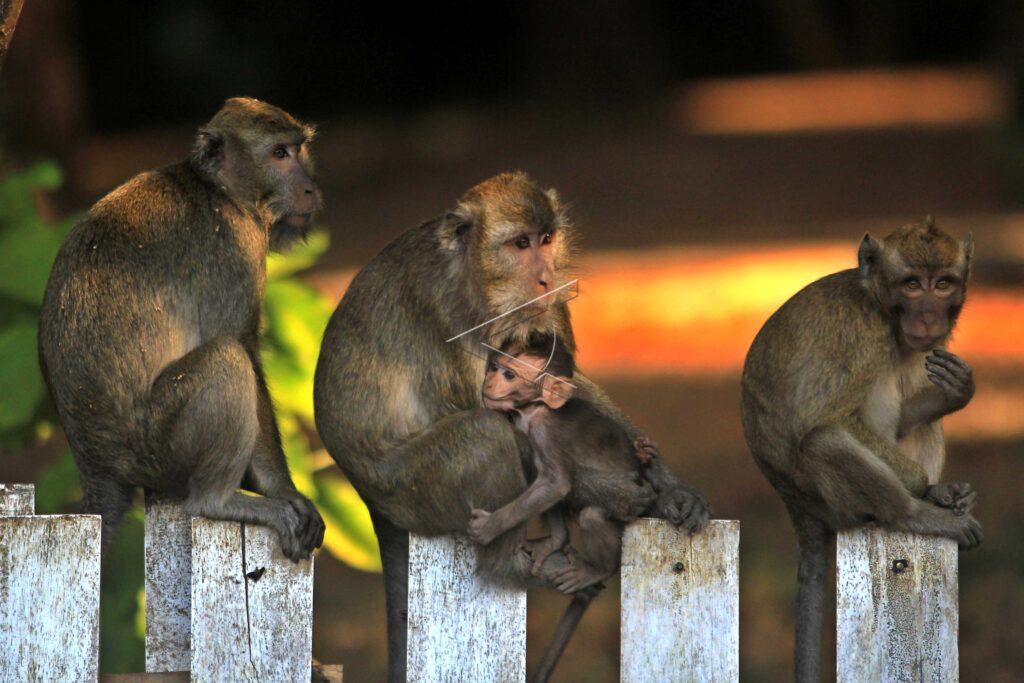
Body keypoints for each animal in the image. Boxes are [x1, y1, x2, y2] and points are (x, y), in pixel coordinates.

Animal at [38, 97, 326, 562]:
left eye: (300, 150)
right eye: (279, 153)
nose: (310, 189)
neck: (221, 190)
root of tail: (95, 466)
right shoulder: (236, 247)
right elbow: (243, 345)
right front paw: (285, 490)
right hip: (159, 447)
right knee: (228, 359)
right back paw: (218, 501)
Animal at [313, 171, 710, 682]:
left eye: (546, 239)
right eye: (519, 244)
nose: (545, 277)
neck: (475, 280)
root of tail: (367, 498)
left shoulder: (546, 312)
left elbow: (567, 390)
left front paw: (667, 486)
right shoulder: (444, 310)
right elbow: (495, 417)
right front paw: (634, 496)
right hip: (408, 490)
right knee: (485, 434)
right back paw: (509, 566)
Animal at [740, 217, 982, 683]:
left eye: (942, 284)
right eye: (912, 285)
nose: (928, 317)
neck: (879, 304)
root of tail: (789, 498)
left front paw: (957, 394)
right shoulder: (860, 333)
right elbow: (819, 417)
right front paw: (922, 490)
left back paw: (937, 494)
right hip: (828, 499)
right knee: (822, 440)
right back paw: (914, 511)